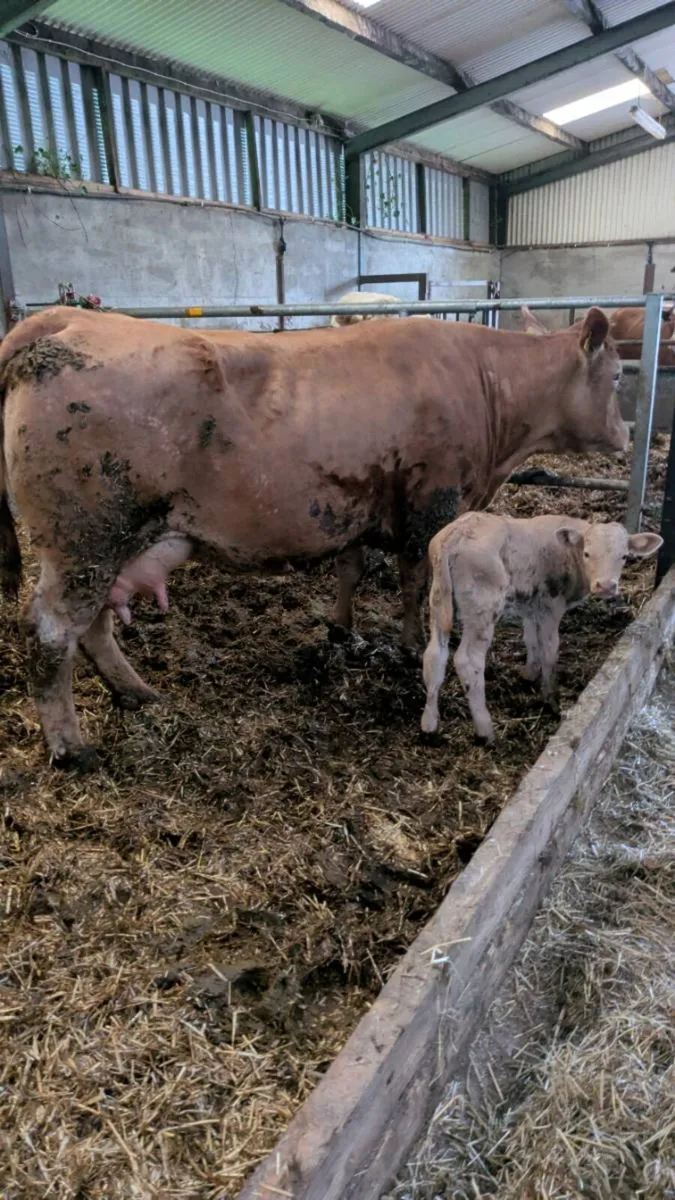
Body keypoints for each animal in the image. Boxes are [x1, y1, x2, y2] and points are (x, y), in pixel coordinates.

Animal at [0, 304, 627, 768]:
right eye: (621, 374)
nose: (625, 435)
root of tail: (66, 319)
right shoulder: (434, 504)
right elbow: (416, 584)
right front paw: (408, 644)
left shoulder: (355, 506)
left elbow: (351, 568)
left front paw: (341, 628)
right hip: (84, 538)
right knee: (52, 631)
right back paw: (72, 747)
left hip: (106, 547)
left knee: (95, 624)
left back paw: (136, 693)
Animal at [421, 512, 662, 742]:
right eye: (587, 553)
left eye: (624, 556)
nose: (606, 586)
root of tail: (456, 532)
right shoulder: (550, 606)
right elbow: (549, 650)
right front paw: (551, 699)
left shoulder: (530, 605)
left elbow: (531, 639)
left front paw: (528, 672)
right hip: (483, 607)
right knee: (468, 661)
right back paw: (485, 730)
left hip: (438, 600)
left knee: (434, 654)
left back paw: (429, 724)